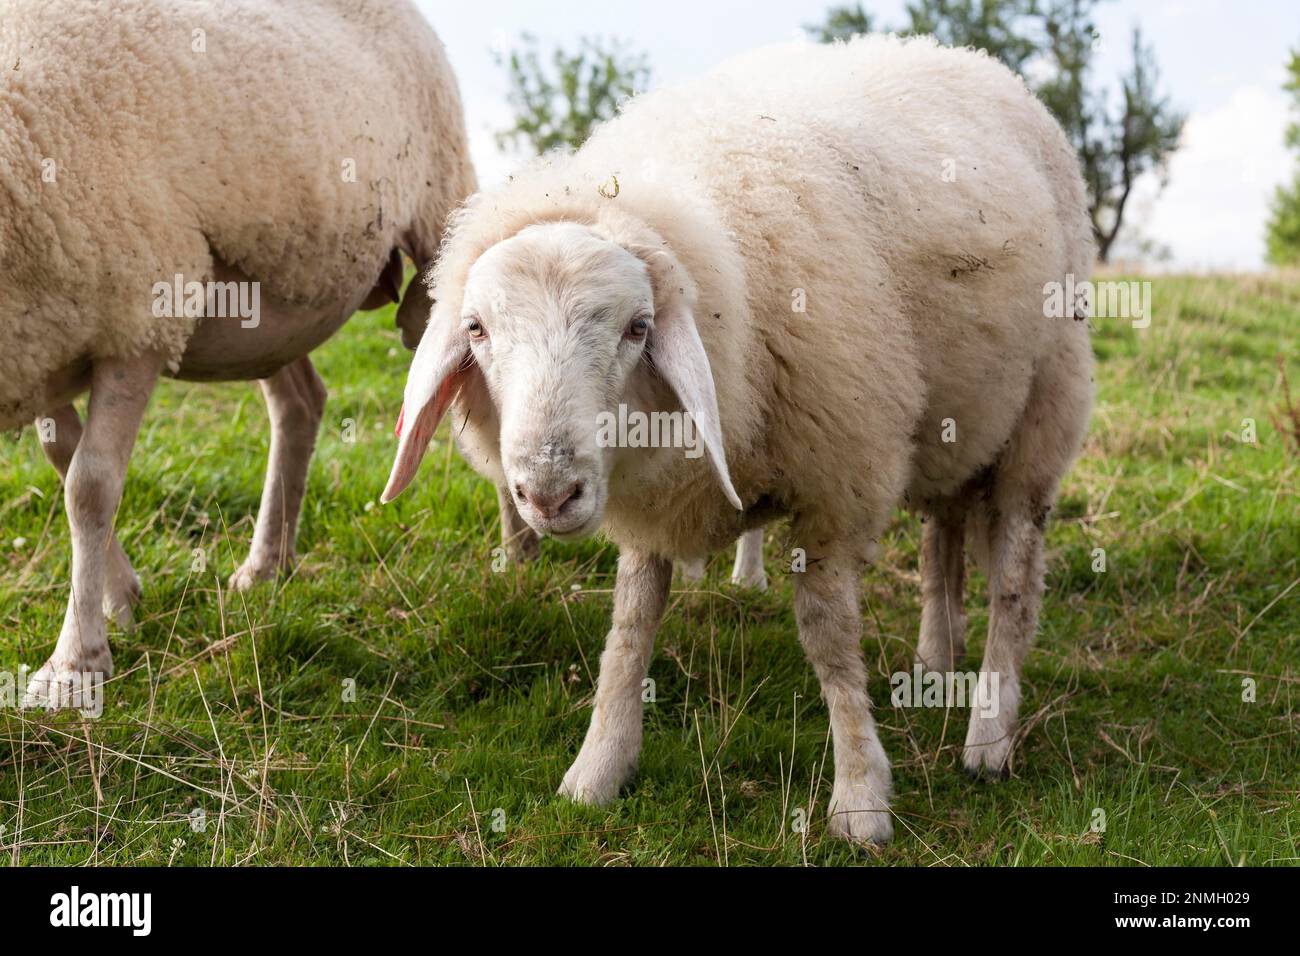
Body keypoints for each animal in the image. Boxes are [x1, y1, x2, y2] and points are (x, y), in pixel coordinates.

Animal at [0, 0, 478, 702]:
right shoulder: (46, 342)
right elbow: (64, 461)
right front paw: (120, 600)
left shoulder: (137, 317)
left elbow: (88, 486)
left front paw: (74, 666)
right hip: (272, 305)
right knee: (301, 402)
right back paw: (266, 566)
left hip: (441, 208)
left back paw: (518, 552)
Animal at [384, 35, 1097, 842]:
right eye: (476, 328)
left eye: (638, 327)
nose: (548, 492)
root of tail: (972, 58)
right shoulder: (655, 496)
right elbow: (631, 625)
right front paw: (598, 768)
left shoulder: (838, 478)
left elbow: (828, 636)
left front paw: (860, 795)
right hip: (961, 420)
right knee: (942, 537)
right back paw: (936, 662)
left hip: (1041, 408)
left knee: (1013, 576)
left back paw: (989, 734)